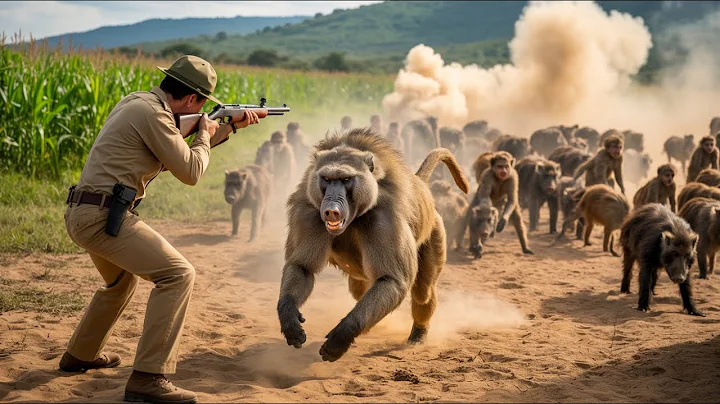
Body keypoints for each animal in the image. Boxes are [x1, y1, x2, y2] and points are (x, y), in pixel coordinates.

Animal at [276, 128, 470, 362]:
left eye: (346, 179)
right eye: (327, 179)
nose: (331, 210)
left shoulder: (385, 219)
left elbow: (392, 280)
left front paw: (343, 335)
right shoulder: (307, 213)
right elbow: (301, 267)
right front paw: (289, 318)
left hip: (434, 231)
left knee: (423, 293)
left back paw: (418, 333)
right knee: (359, 288)